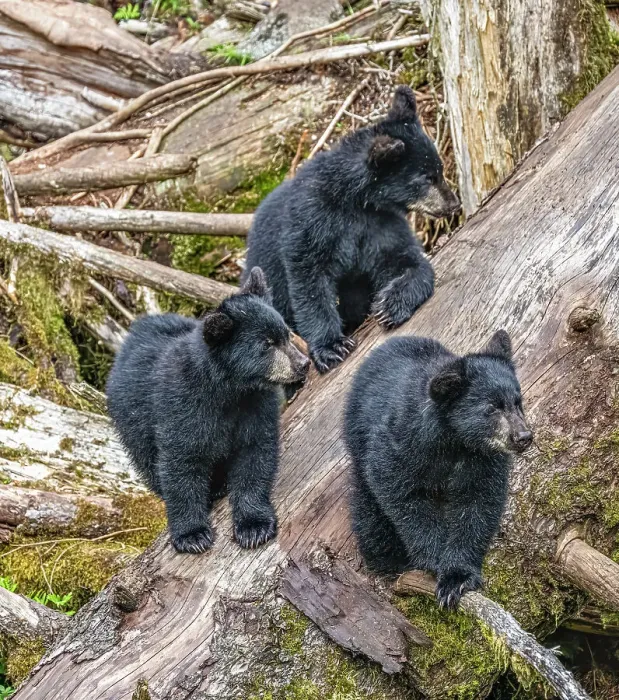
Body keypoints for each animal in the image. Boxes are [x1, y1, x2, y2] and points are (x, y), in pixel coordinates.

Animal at [106, 267, 310, 554]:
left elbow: (255, 453)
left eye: (286, 334)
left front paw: (254, 526)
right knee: (147, 461)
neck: (228, 391)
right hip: (132, 418)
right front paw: (192, 535)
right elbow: (181, 464)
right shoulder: (182, 406)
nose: (303, 363)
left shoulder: (255, 405)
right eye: (266, 344)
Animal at [243, 85, 460, 374]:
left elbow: (407, 260)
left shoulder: (381, 224)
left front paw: (390, 304)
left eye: (440, 169)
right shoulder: (311, 221)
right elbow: (309, 282)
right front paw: (331, 347)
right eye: (426, 178)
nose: (454, 204)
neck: (357, 202)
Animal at [343, 331, 533, 609]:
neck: (455, 442)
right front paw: (434, 561)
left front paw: (458, 578)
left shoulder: (484, 460)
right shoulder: (402, 444)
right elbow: (400, 495)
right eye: (491, 408)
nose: (523, 437)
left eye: (518, 403)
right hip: (357, 442)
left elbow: (478, 504)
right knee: (370, 517)